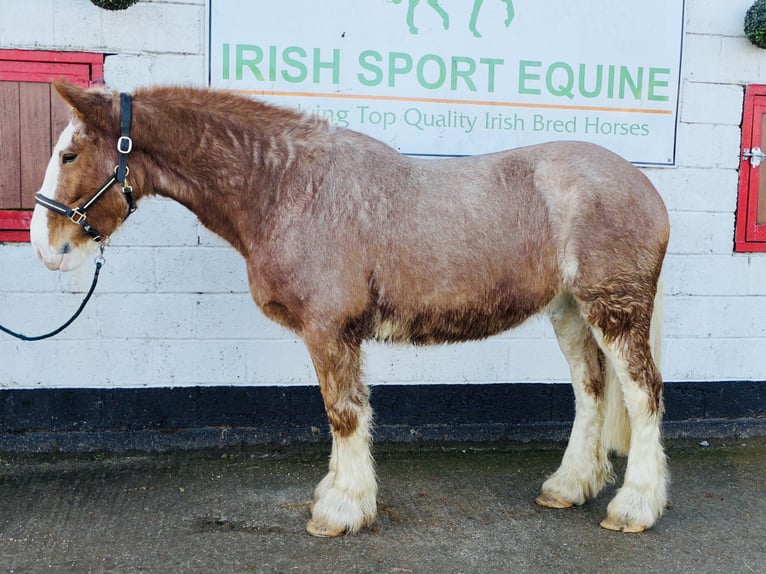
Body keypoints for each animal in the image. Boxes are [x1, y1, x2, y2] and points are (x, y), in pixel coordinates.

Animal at [30, 81, 670, 537]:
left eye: (70, 154)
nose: (45, 246)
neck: (288, 186)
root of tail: (646, 188)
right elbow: (343, 413)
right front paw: (337, 492)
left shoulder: (329, 330)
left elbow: (343, 413)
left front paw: (341, 510)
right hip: (570, 311)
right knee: (591, 391)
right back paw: (569, 485)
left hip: (614, 310)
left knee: (642, 395)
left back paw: (634, 506)